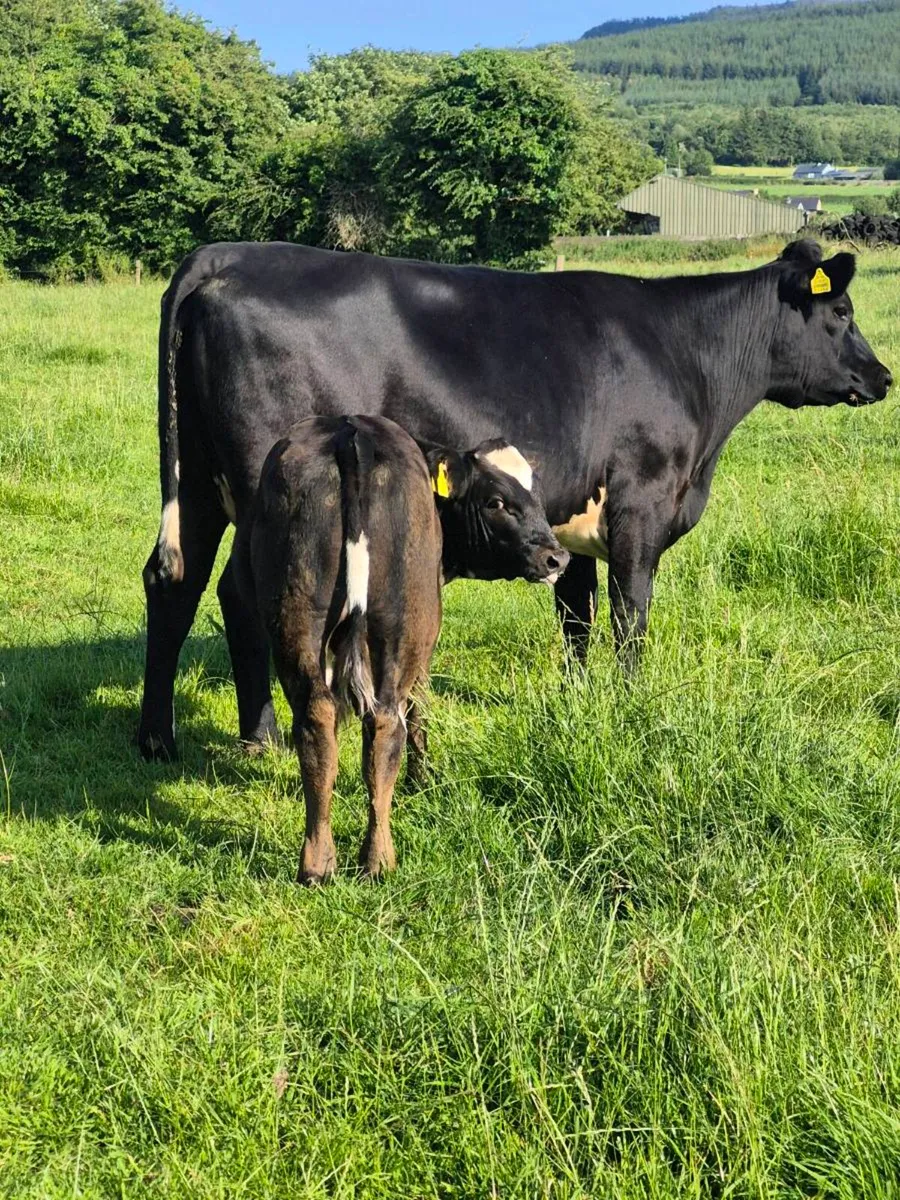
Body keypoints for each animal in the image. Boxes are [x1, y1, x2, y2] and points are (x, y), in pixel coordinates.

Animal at [138, 237, 892, 761]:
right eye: (843, 311)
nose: (884, 376)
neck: (685, 357)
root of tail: (228, 254)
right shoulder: (640, 510)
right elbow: (630, 619)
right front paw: (632, 704)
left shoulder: (569, 524)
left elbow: (577, 619)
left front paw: (578, 700)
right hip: (271, 491)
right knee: (241, 592)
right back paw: (262, 734)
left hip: (197, 479)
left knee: (176, 581)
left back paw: (159, 739)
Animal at [230, 415, 567, 881]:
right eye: (496, 501)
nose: (557, 558)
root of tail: (350, 431)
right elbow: (420, 707)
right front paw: (422, 781)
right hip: (404, 624)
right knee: (387, 722)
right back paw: (378, 860)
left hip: (299, 619)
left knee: (321, 720)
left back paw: (320, 862)